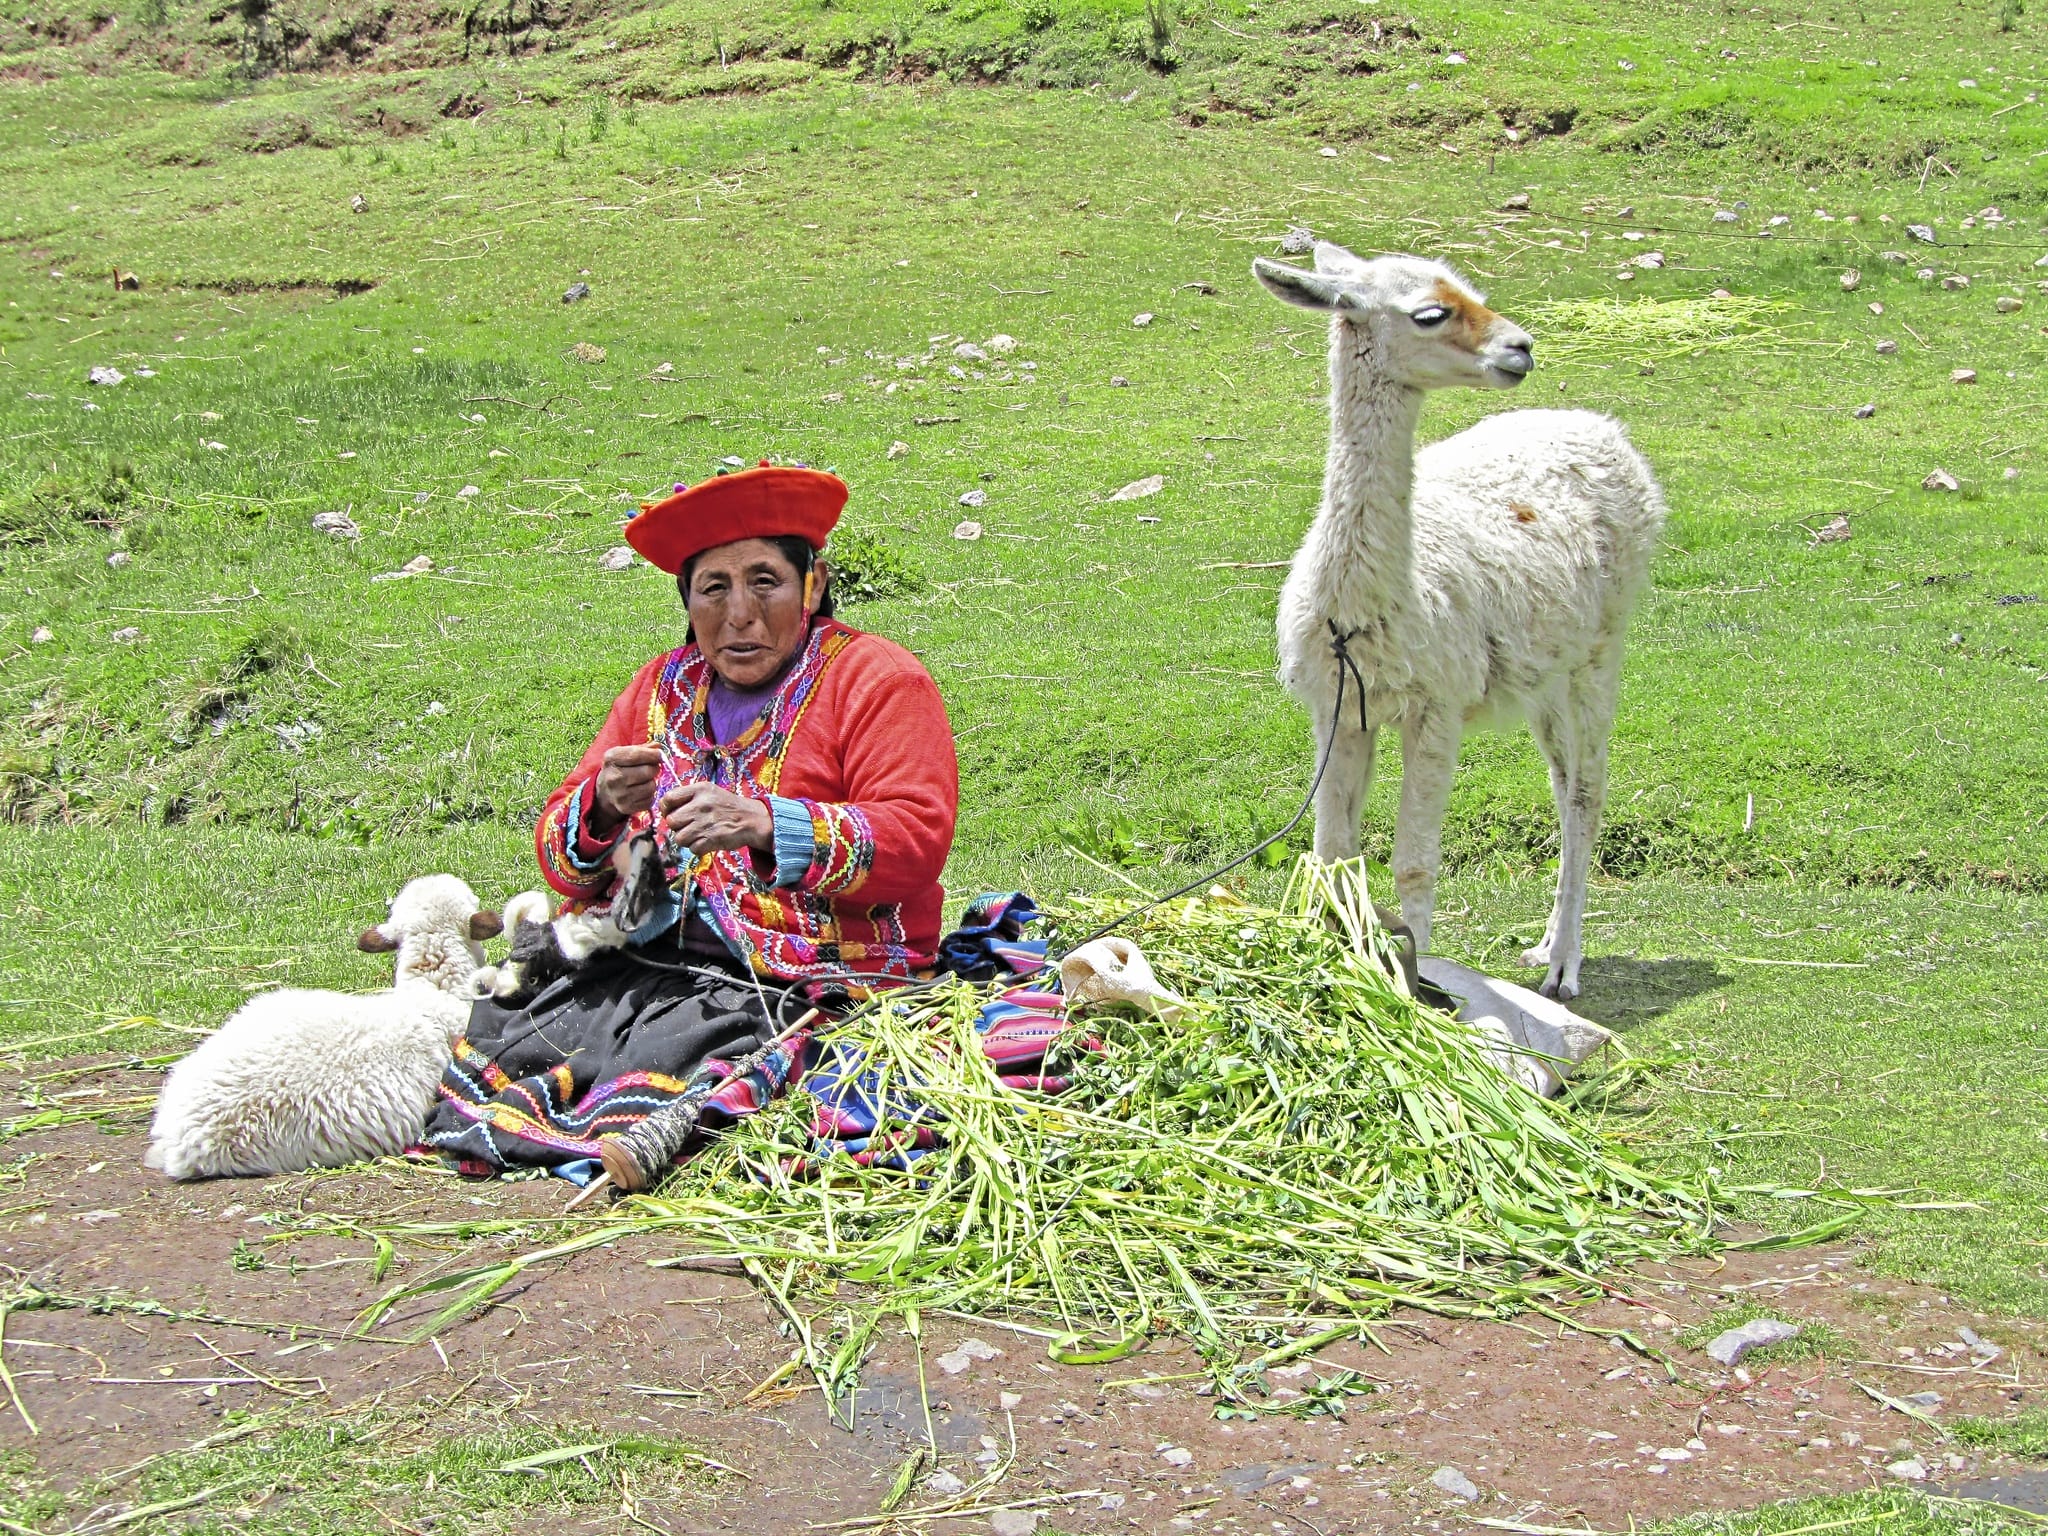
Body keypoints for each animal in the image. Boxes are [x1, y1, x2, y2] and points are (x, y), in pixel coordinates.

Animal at [1253, 243, 1667, 1000]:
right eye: (1432, 312)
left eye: (1472, 288)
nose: (1521, 347)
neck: (1362, 612)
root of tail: (1603, 427)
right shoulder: (1337, 707)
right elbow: (1333, 856)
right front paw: (1332, 968)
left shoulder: (1436, 704)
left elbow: (1413, 862)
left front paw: (1409, 991)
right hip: (1544, 673)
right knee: (1563, 781)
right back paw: (1545, 945)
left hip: (1602, 648)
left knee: (1587, 794)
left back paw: (1564, 966)